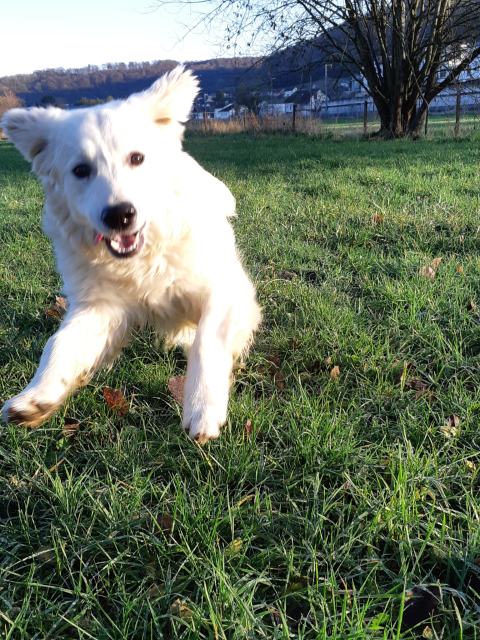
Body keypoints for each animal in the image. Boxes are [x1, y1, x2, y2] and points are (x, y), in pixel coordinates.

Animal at [1, 67, 260, 442]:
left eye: (137, 158)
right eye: (81, 170)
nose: (119, 215)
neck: (141, 261)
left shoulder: (225, 289)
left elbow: (207, 339)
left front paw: (203, 408)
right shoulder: (99, 308)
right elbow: (58, 343)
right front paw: (36, 397)